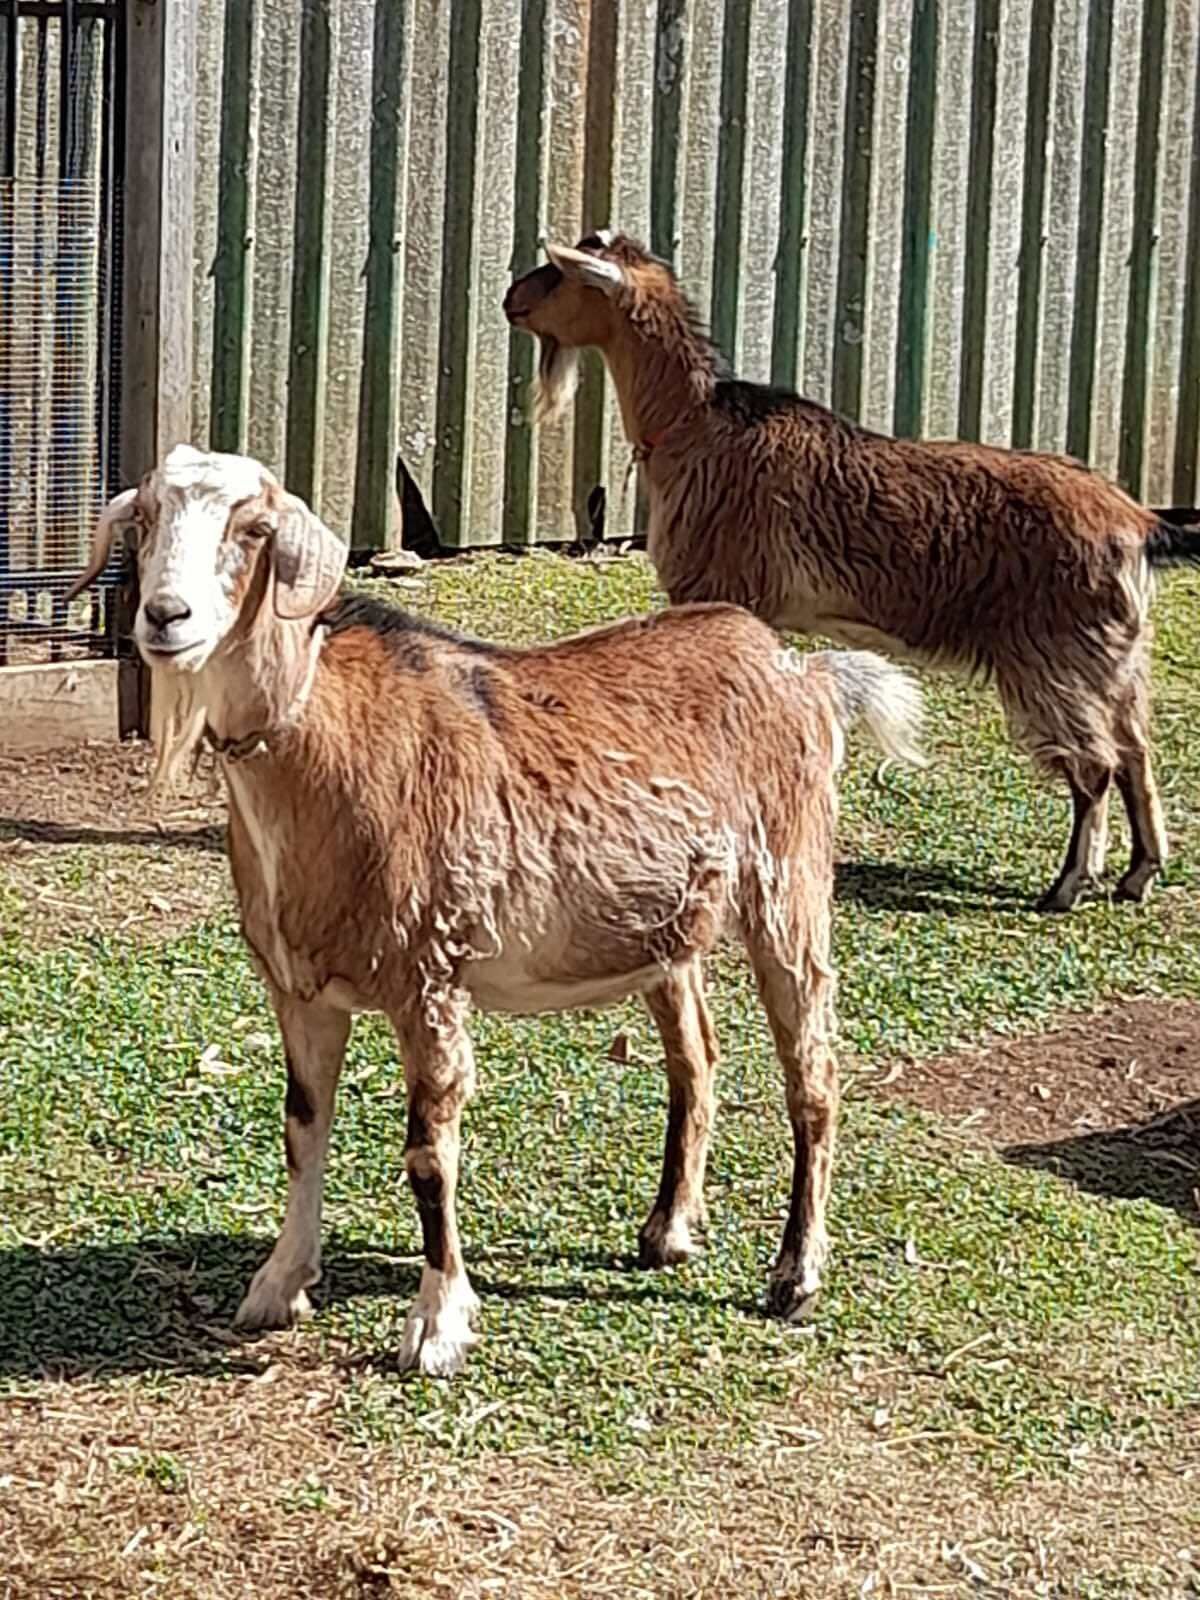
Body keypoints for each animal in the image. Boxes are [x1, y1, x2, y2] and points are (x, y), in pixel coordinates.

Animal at [70, 444, 925, 1376]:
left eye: (254, 528)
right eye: (146, 517)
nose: (166, 616)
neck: (322, 752)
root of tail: (801, 670)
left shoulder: (429, 977)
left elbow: (428, 1151)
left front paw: (438, 1323)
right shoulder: (300, 990)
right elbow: (302, 1125)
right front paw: (279, 1283)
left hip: (789, 884)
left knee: (815, 1074)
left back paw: (796, 1273)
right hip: (666, 930)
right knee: (696, 1058)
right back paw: (668, 1229)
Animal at [504, 229, 1200, 913]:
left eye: (558, 273)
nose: (513, 300)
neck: (699, 423)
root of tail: (1139, 524)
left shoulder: (719, 591)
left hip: (1055, 656)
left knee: (1096, 766)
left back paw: (1068, 885)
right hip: (1114, 656)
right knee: (1136, 751)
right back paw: (1138, 874)